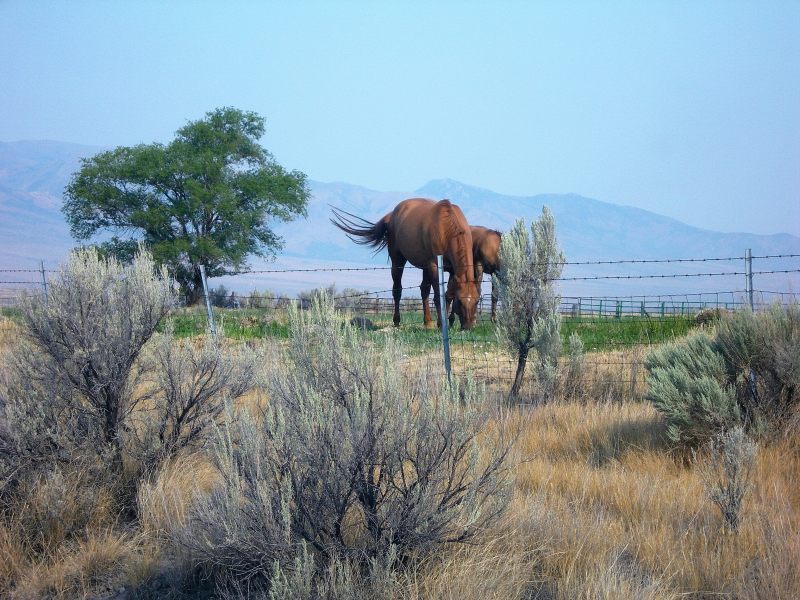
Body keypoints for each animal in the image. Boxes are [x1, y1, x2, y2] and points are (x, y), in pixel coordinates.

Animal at [328, 197, 478, 328]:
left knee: (424, 290)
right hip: (398, 261)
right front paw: (442, 324)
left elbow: (449, 295)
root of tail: (391, 216)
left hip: (425, 267)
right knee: (397, 290)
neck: (447, 228)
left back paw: (428, 322)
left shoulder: (453, 270)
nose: (468, 326)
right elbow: (438, 296)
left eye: (477, 301)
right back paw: (397, 321)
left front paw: (449, 322)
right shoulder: (435, 266)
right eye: (461, 302)